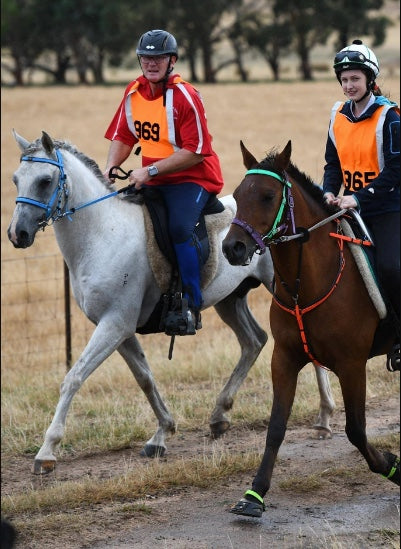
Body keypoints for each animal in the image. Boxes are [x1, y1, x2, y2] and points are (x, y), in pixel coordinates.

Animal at [220, 139, 398, 516]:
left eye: (268, 196)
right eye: (238, 194)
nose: (232, 247)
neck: (306, 285)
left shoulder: (351, 365)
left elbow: (356, 430)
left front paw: (393, 466)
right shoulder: (284, 358)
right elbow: (275, 427)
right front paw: (253, 495)